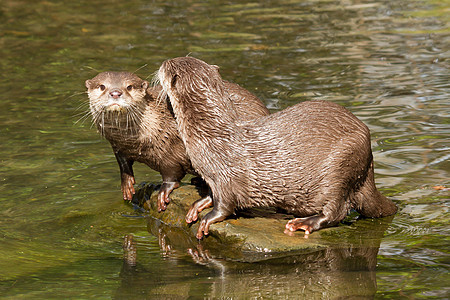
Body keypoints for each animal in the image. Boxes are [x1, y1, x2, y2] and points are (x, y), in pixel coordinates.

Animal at [85, 71, 268, 211]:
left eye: (129, 86)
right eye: (102, 86)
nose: (115, 93)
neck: (134, 140)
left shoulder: (170, 148)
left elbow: (171, 172)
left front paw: (164, 191)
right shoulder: (117, 146)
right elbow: (123, 163)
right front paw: (127, 184)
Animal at [156, 56, 396, 239]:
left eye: (167, 66)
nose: (162, 61)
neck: (212, 134)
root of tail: (369, 152)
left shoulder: (226, 175)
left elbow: (225, 205)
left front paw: (208, 219)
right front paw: (199, 204)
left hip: (341, 165)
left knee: (337, 210)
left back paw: (304, 223)